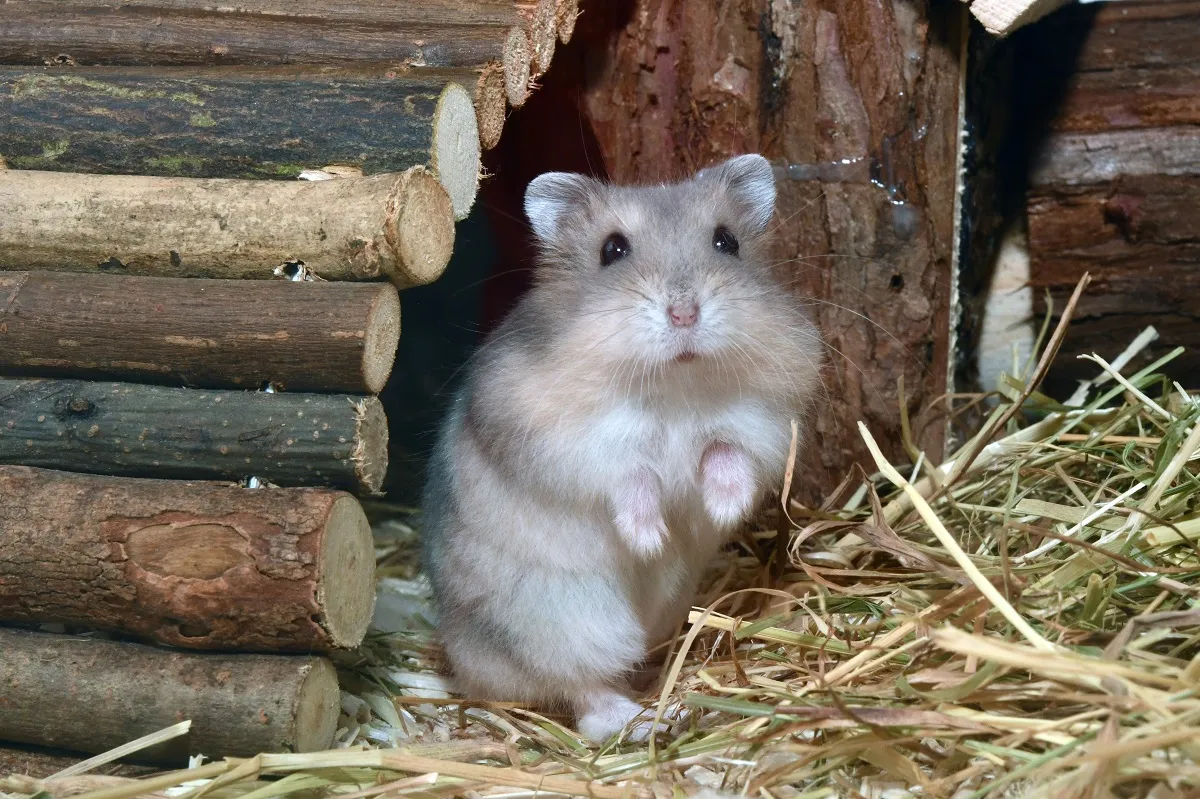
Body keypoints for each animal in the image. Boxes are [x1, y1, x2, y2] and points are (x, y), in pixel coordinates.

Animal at [421, 154, 823, 742]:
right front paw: (651, 539)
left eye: (726, 242)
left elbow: (727, 453)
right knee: (583, 693)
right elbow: (631, 475)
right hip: (565, 621)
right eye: (612, 250)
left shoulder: (762, 423)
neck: (673, 386)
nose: (684, 314)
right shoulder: (570, 442)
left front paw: (721, 510)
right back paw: (645, 718)